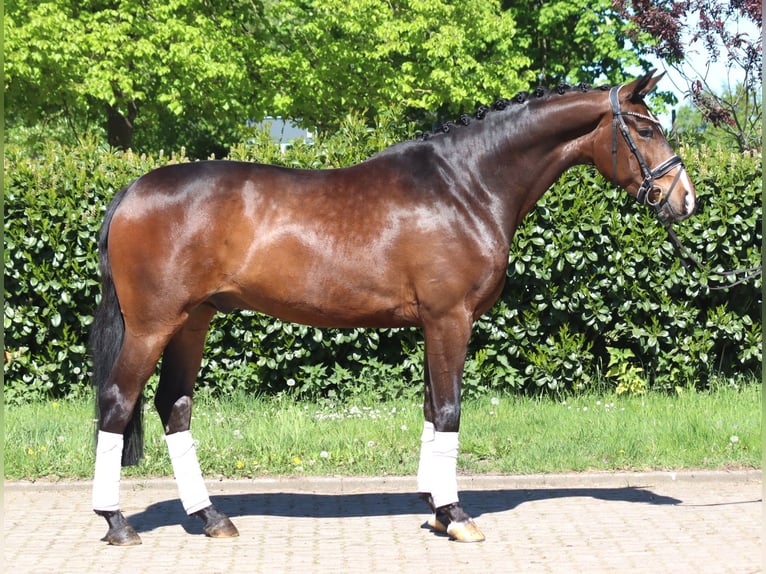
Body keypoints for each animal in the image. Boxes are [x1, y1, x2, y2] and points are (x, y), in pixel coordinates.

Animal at [89, 70, 696, 546]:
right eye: (645, 129)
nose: (685, 199)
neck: (465, 185)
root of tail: (133, 191)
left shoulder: (433, 322)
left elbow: (430, 408)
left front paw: (436, 510)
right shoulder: (450, 318)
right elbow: (449, 410)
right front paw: (457, 515)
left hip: (194, 320)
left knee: (174, 406)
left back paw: (212, 518)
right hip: (154, 324)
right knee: (118, 403)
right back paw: (117, 522)